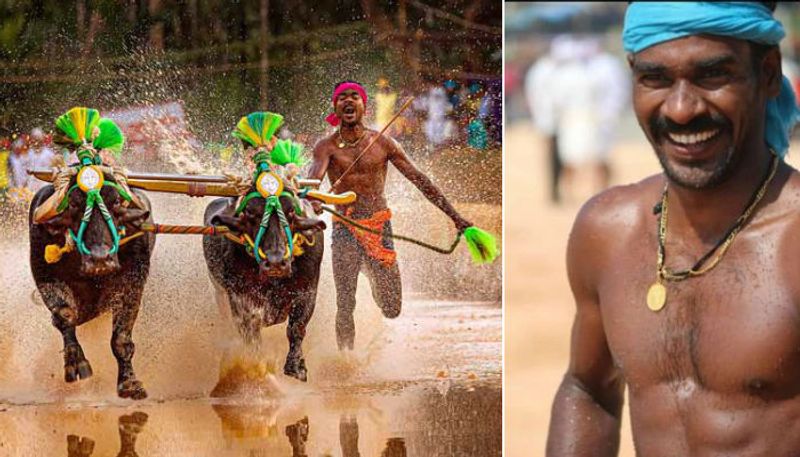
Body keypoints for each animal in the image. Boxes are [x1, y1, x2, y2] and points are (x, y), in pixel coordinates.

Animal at [203, 188, 324, 382]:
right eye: (250, 213)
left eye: (291, 211)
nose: (275, 263)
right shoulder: (240, 296)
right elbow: (250, 331)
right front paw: (255, 366)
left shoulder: (308, 291)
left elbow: (296, 328)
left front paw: (296, 367)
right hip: (219, 294)